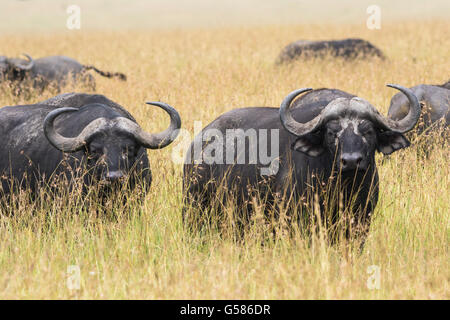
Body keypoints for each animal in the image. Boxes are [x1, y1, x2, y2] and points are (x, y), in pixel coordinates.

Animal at [182, 85, 418, 240]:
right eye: (332, 132)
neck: (342, 187)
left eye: (368, 131)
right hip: (193, 210)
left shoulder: (360, 222)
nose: (351, 161)